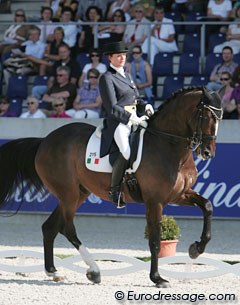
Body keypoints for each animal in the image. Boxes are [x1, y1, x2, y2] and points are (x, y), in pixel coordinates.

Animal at [0, 86, 222, 286]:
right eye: (206, 116)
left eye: (219, 118)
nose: (208, 153)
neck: (168, 145)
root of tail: (44, 141)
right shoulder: (154, 201)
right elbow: (155, 241)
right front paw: (157, 278)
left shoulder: (178, 195)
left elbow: (207, 206)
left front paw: (196, 249)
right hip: (69, 194)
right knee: (67, 228)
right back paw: (94, 270)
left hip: (77, 193)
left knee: (50, 227)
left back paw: (53, 272)